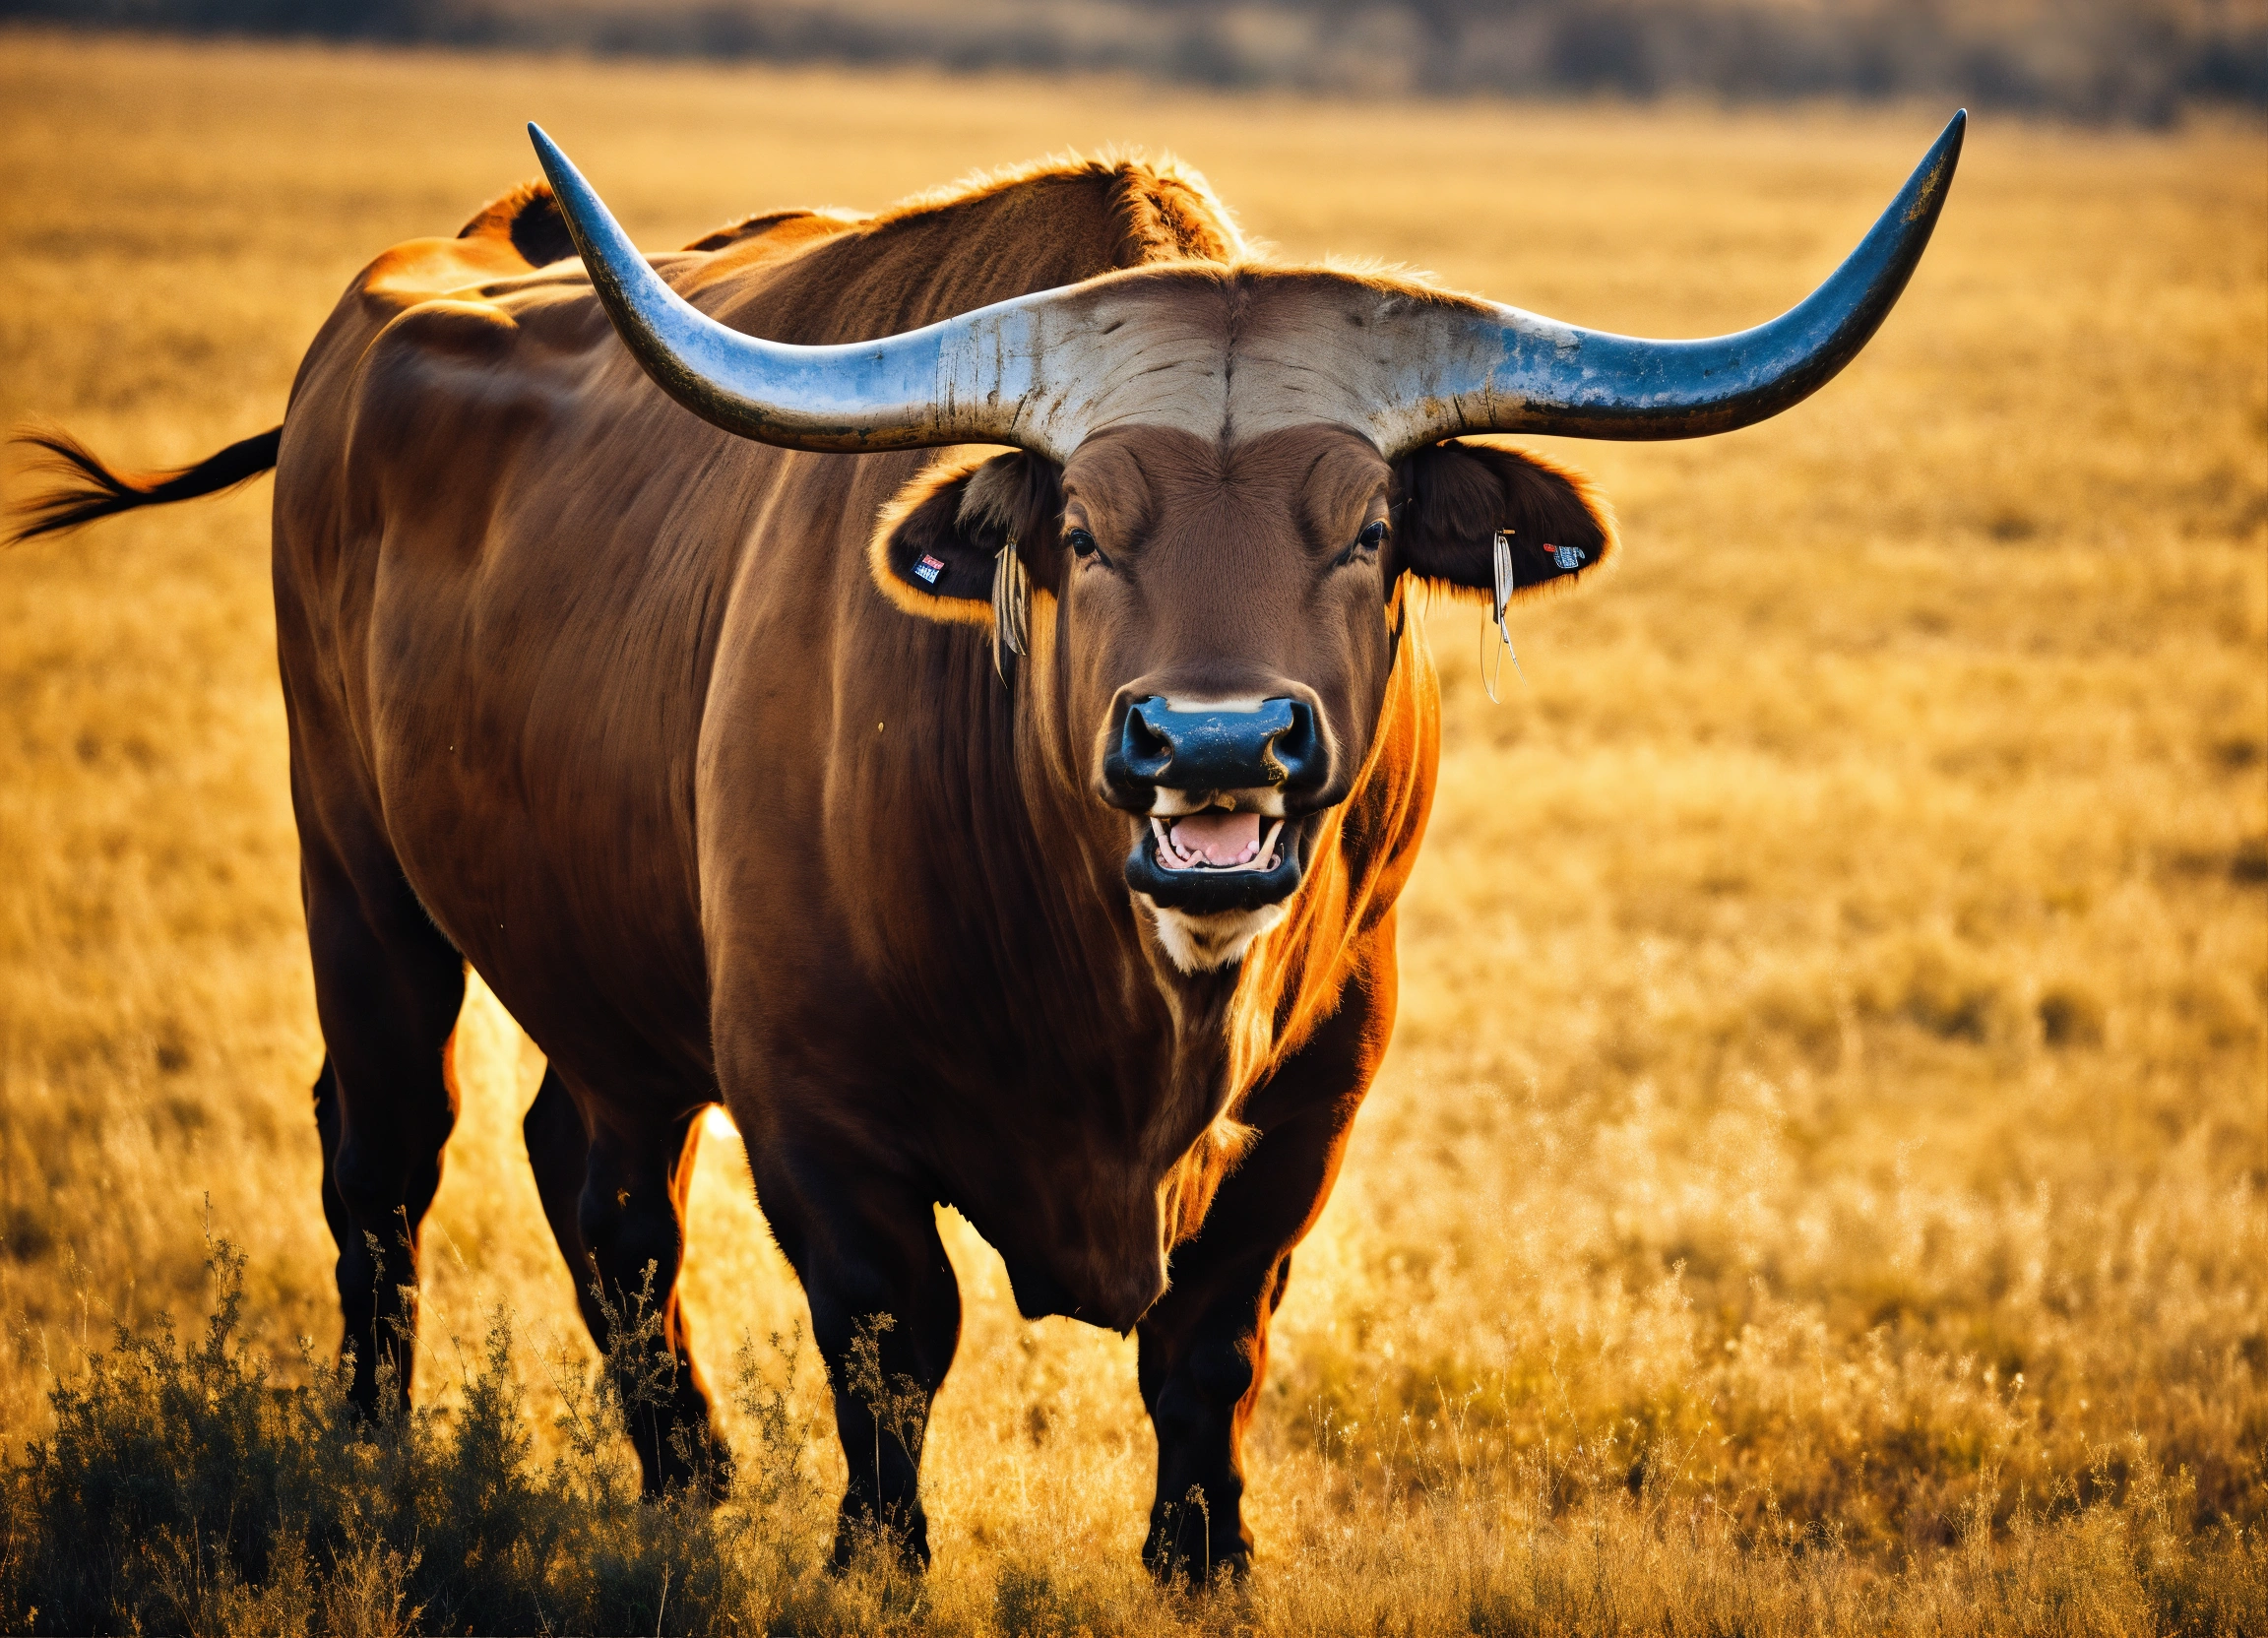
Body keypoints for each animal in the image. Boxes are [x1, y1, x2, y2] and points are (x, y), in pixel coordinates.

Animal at [12, 113, 1962, 1579]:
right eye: (1081, 530)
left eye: (1365, 529)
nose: (1213, 748)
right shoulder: (812, 1098)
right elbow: (895, 1345)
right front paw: (873, 1570)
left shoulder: (1320, 1090)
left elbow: (1209, 1345)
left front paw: (1207, 1568)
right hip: (353, 868)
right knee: (388, 1153)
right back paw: (372, 1454)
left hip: (601, 963)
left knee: (596, 1174)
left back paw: (689, 1485)